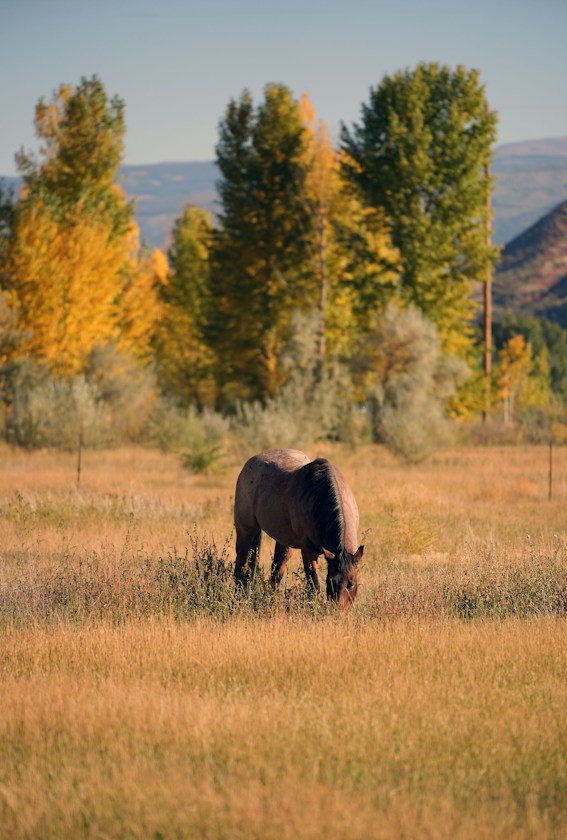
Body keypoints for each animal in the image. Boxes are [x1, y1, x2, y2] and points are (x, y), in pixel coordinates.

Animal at [234, 449, 364, 610]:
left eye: (351, 584)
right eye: (330, 582)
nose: (337, 611)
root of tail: (250, 463)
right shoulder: (308, 551)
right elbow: (313, 585)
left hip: (282, 540)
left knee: (276, 571)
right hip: (245, 530)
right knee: (240, 565)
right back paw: (239, 597)